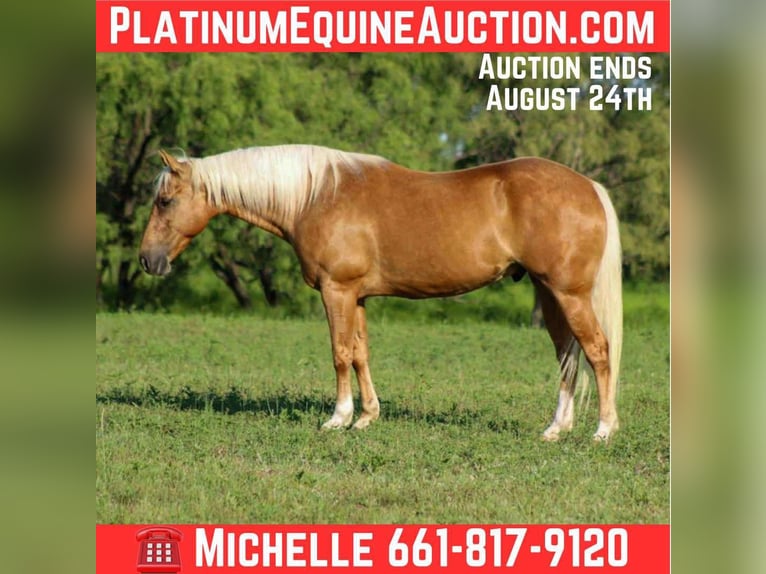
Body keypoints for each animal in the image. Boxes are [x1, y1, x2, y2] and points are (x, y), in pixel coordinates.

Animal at [139, 144, 622, 441]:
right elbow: (360, 354)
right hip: (550, 294)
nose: (147, 260)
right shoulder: (357, 296)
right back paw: (556, 429)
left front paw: (338, 418)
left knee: (597, 350)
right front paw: (367, 417)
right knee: (567, 355)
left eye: (165, 201)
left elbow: (339, 353)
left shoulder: (336, 290)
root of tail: (589, 187)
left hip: (569, 293)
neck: (316, 196)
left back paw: (603, 429)